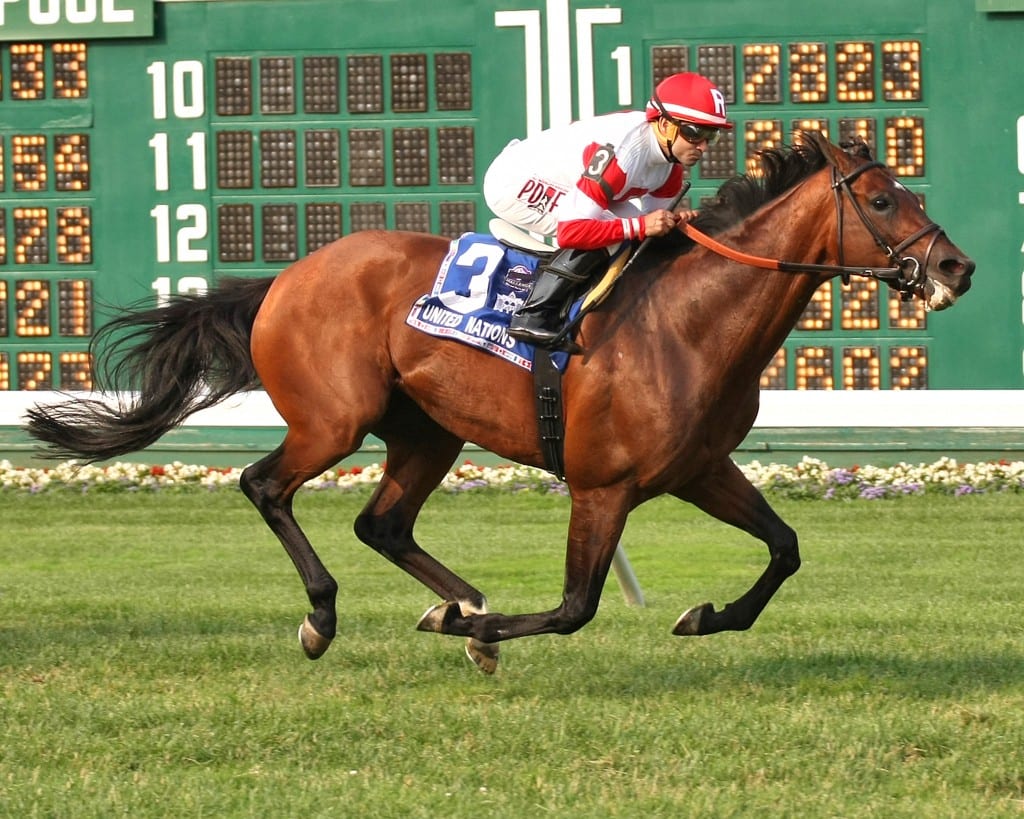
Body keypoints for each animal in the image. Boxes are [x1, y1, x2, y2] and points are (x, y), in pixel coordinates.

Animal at [22, 133, 966, 671]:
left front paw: (706, 616)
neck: (687, 322)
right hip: (333, 419)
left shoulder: (701, 468)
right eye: (882, 198)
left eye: (912, 191)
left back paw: (458, 599)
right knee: (265, 486)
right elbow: (577, 606)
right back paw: (329, 616)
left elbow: (785, 548)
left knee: (382, 523)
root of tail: (287, 277)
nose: (956, 266)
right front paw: (473, 635)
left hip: (426, 433)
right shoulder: (603, 486)